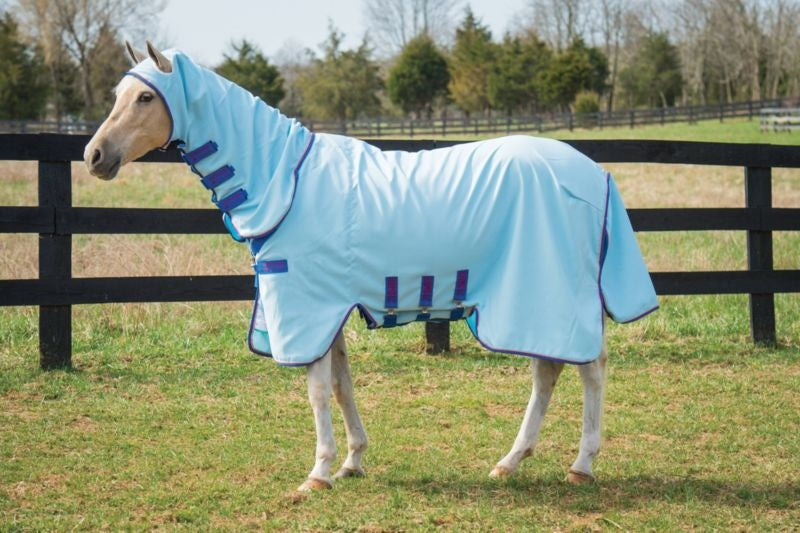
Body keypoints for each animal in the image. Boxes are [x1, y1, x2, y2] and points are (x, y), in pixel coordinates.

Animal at [84, 41, 658, 492]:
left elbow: (317, 390)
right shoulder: (331, 309)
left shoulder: (310, 309)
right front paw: (352, 462)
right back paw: (510, 463)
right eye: (116, 96)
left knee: (586, 370)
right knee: (550, 371)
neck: (287, 180)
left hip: (548, 297)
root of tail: (594, 173)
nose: (94, 156)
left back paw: (580, 464)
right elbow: (342, 385)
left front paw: (317, 473)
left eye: (145, 97)